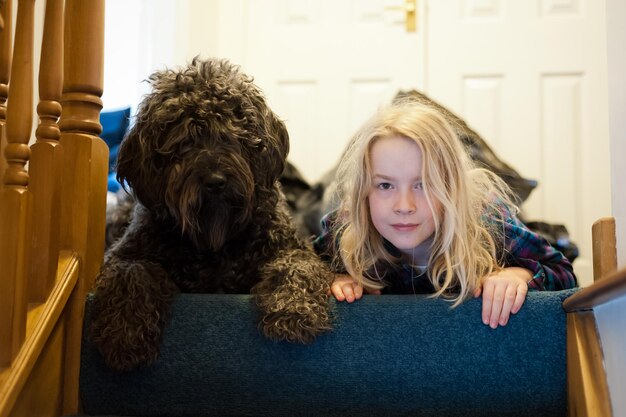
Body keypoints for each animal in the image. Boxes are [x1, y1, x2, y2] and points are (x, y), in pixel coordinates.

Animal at [90, 56, 334, 370]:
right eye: (184, 139)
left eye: (232, 135)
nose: (216, 181)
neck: (215, 241)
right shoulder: (125, 255)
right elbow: (130, 274)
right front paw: (125, 333)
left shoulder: (293, 247)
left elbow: (297, 266)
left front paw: (293, 309)